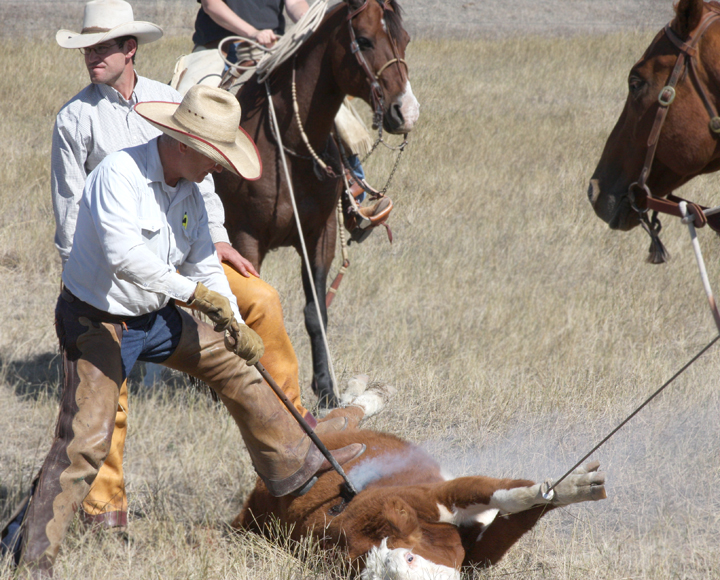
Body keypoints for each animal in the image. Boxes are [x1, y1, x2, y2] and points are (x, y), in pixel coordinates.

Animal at [233, 381, 607, 579]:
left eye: (411, 557)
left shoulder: (439, 496)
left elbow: (512, 502)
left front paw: (576, 485)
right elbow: (511, 509)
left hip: (322, 441)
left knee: (341, 416)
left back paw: (371, 393)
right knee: (339, 416)